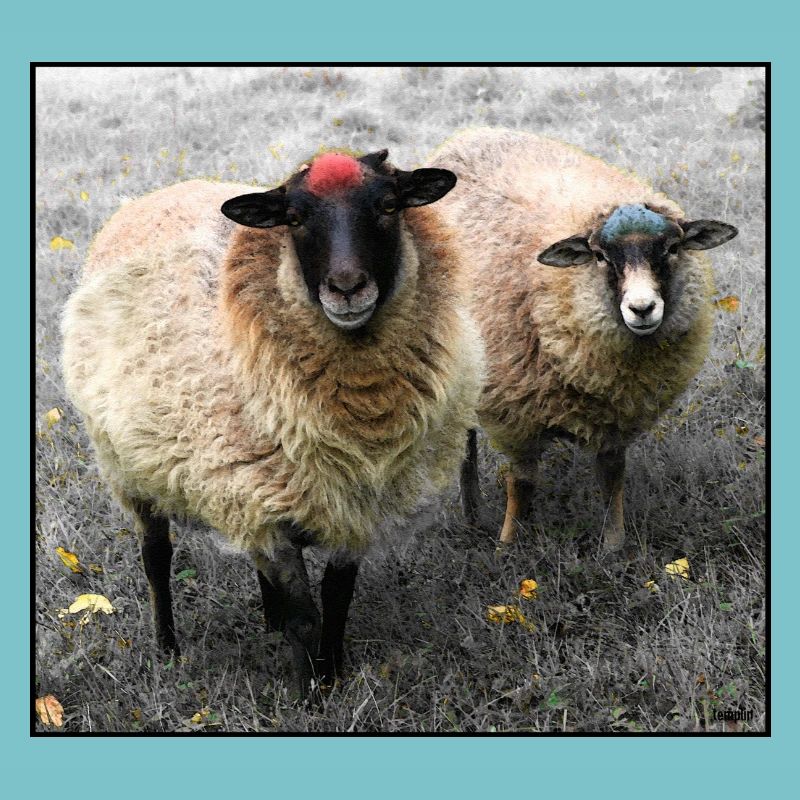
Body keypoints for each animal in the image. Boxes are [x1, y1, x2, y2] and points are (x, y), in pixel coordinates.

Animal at [61, 149, 484, 696]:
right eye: (295, 219)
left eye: (390, 205)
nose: (347, 288)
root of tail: (158, 193)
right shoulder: (262, 503)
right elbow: (305, 616)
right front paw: (309, 695)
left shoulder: (348, 504)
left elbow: (337, 599)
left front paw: (332, 673)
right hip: (128, 469)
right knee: (155, 558)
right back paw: (167, 648)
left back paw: (267, 621)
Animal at [428, 128, 738, 552]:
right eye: (599, 255)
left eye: (673, 248)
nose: (642, 308)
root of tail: (471, 134)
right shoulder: (516, 417)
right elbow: (521, 483)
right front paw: (508, 545)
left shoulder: (618, 411)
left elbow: (612, 475)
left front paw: (613, 545)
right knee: (466, 444)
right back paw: (472, 513)